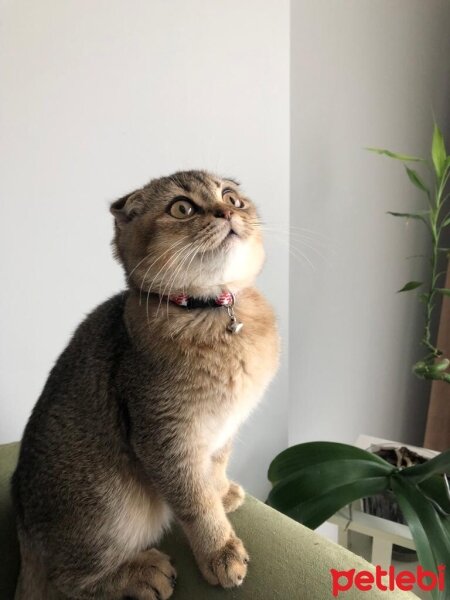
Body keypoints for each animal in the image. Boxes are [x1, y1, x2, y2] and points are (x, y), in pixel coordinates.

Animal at [12, 170, 280, 600]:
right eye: (182, 208)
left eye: (232, 198)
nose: (225, 213)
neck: (212, 313)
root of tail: (21, 521)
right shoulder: (163, 438)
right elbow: (195, 502)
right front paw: (220, 551)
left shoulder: (225, 428)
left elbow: (215, 467)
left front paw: (221, 491)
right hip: (111, 501)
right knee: (67, 581)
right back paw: (138, 574)